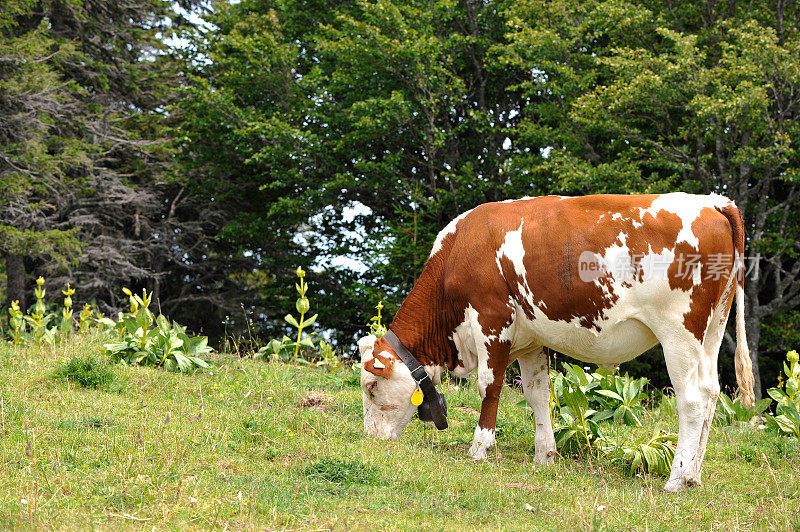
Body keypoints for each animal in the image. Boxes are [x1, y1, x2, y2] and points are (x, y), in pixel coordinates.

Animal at [360, 191, 756, 490]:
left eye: (371, 387)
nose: (370, 439)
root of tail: (713, 202)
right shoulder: (530, 340)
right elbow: (538, 393)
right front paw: (544, 456)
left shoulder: (491, 321)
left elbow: (489, 387)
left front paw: (479, 449)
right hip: (713, 328)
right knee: (711, 393)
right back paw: (693, 475)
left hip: (679, 331)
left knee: (691, 400)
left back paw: (675, 479)